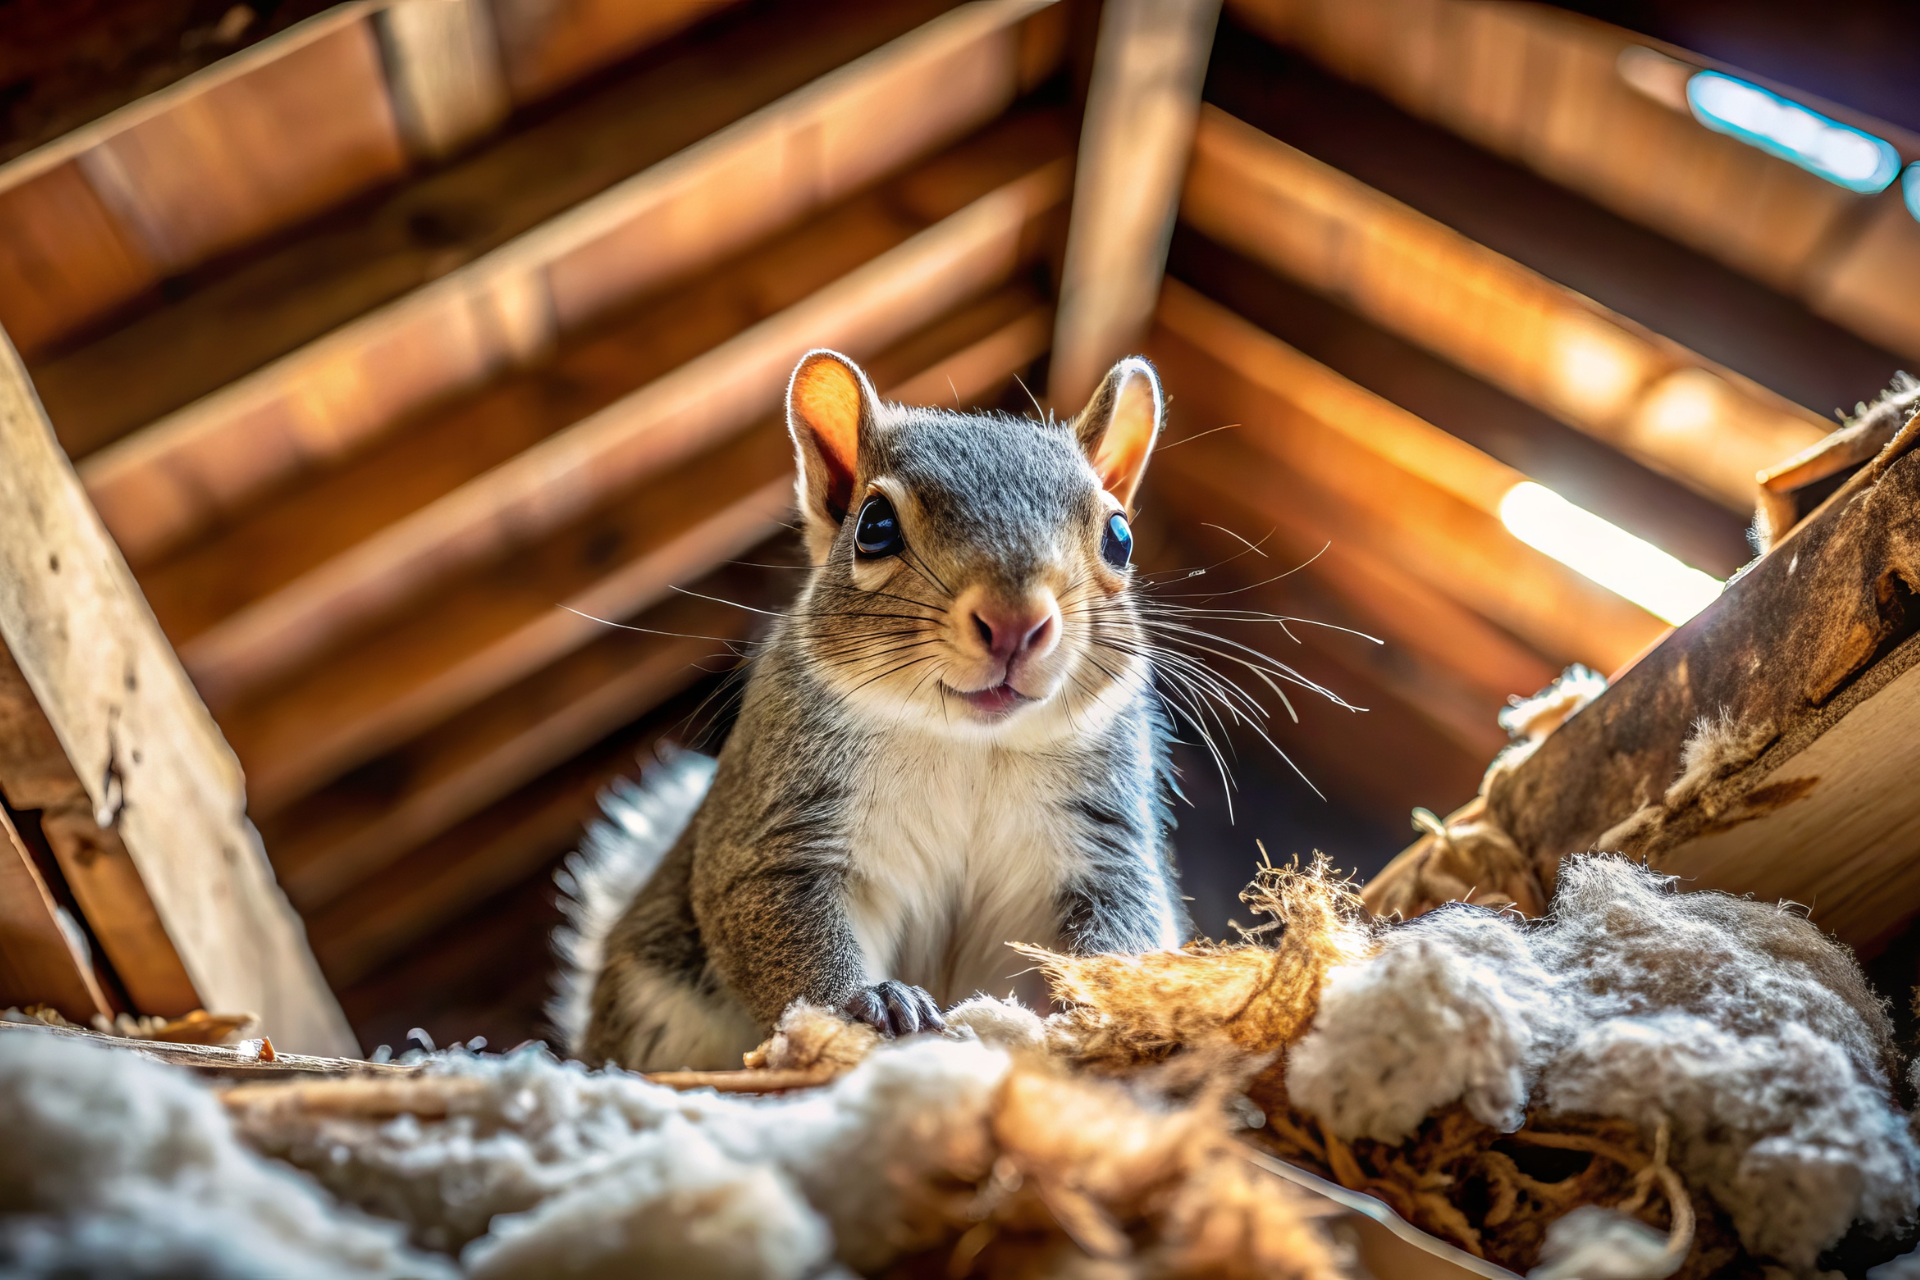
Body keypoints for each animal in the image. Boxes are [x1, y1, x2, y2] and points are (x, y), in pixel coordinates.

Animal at [564, 348, 1189, 1071]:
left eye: (1119, 536)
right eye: (874, 526)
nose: (1015, 622)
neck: (967, 741)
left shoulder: (1105, 836)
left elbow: (1125, 912)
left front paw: (1099, 1012)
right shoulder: (781, 827)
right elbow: (778, 914)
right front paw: (872, 1000)